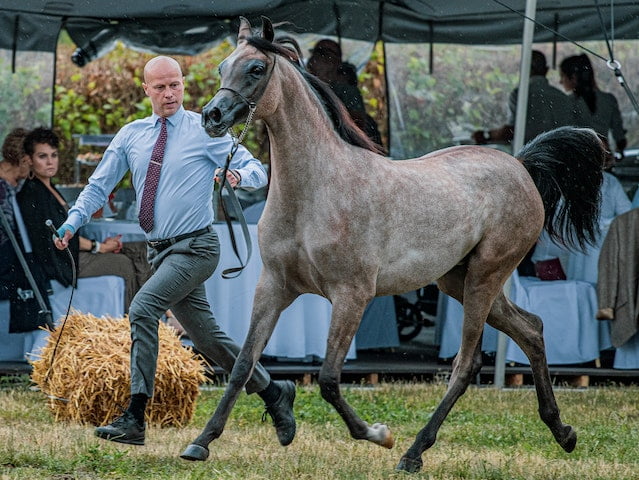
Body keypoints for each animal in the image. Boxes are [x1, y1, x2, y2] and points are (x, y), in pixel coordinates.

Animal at [181, 17, 604, 472]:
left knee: (466, 363)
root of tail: (521, 165)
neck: (315, 192)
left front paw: (377, 434)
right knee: (533, 329)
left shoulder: (351, 295)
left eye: (256, 69)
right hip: (458, 280)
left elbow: (329, 379)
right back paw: (563, 432)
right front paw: (201, 442)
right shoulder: (274, 286)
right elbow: (242, 364)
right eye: (223, 66)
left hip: (485, 277)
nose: (211, 116)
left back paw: (413, 452)